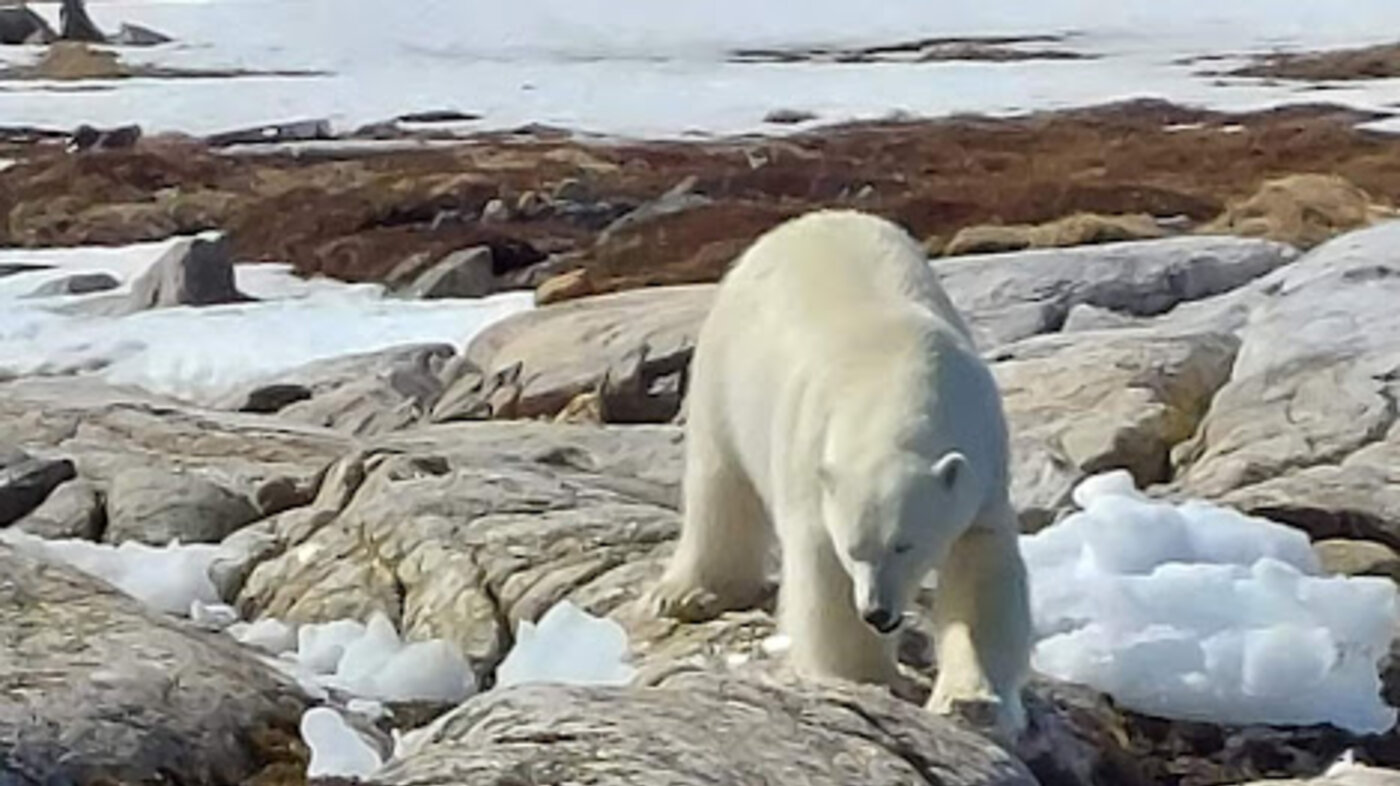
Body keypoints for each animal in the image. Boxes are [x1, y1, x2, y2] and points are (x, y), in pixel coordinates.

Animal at [649, 208, 1036, 734]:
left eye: (906, 544)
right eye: (854, 548)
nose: (878, 612)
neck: (894, 380)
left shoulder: (985, 463)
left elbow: (981, 570)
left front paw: (970, 700)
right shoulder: (811, 462)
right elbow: (823, 574)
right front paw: (870, 678)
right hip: (725, 371)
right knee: (720, 484)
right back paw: (687, 592)